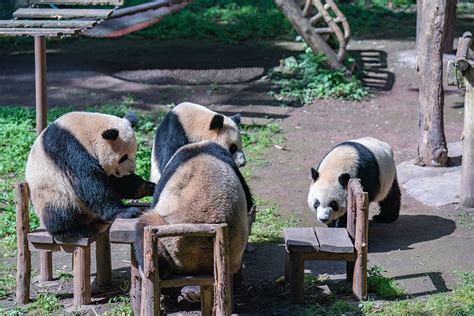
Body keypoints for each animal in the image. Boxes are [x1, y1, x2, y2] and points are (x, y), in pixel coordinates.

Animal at [25, 111, 155, 242]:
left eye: (134, 153)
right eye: (123, 157)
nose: (131, 170)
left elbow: (119, 183)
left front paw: (151, 187)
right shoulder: (71, 149)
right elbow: (90, 183)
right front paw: (127, 211)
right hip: (51, 192)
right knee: (59, 211)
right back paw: (72, 232)